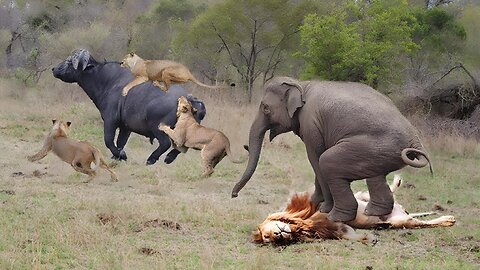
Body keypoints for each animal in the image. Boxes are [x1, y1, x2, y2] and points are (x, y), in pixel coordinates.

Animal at [52, 49, 206, 166]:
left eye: (69, 61)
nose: (54, 69)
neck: (107, 81)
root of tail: (189, 98)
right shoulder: (126, 127)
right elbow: (120, 142)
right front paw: (117, 157)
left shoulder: (110, 121)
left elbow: (108, 140)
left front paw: (121, 155)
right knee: (182, 145)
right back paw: (169, 158)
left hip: (159, 129)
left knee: (165, 144)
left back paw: (152, 159)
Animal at [231, 77, 434, 223]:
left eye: (265, 108)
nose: (234, 195)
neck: (301, 84)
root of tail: (415, 140)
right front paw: (314, 202)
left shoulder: (310, 123)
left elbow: (315, 157)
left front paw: (321, 207)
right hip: (380, 151)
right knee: (375, 176)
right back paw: (373, 213)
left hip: (371, 145)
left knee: (328, 161)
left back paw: (336, 217)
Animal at [253, 175, 456, 245]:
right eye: (267, 238)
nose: (278, 236)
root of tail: (400, 212)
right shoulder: (339, 228)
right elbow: (352, 235)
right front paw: (370, 238)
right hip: (402, 222)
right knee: (424, 223)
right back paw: (447, 219)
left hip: (363, 197)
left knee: (381, 194)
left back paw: (397, 181)